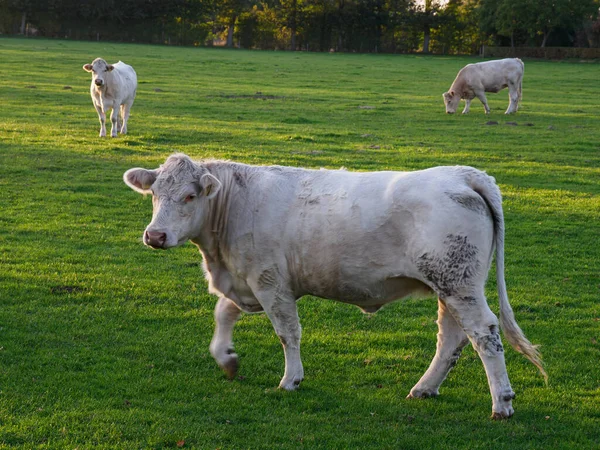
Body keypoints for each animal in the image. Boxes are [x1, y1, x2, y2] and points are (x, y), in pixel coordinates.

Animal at [124, 154, 548, 418]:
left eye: (189, 195)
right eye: (155, 194)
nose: (155, 236)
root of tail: (464, 174)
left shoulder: (270, 282)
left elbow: (287, 333)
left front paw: (291, 380)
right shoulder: (245, 278)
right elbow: (223, 314)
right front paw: (226, 357)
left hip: (459, 284)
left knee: (485, 333)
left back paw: (502, 403)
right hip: (450, 287)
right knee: (452, 338)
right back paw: (425, 388)